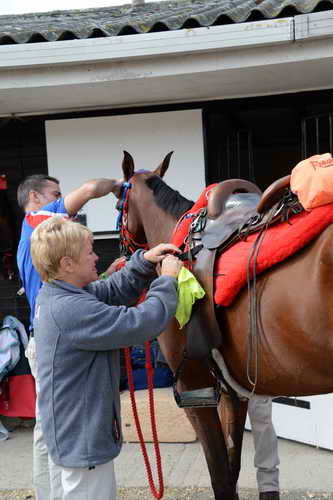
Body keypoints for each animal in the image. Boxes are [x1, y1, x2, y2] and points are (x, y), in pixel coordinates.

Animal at [111, 152, 332, 500]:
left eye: (118, 202)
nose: (121, 254)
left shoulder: (194, 388)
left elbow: (221, 478)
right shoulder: (234, 391)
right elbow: (233, 465)